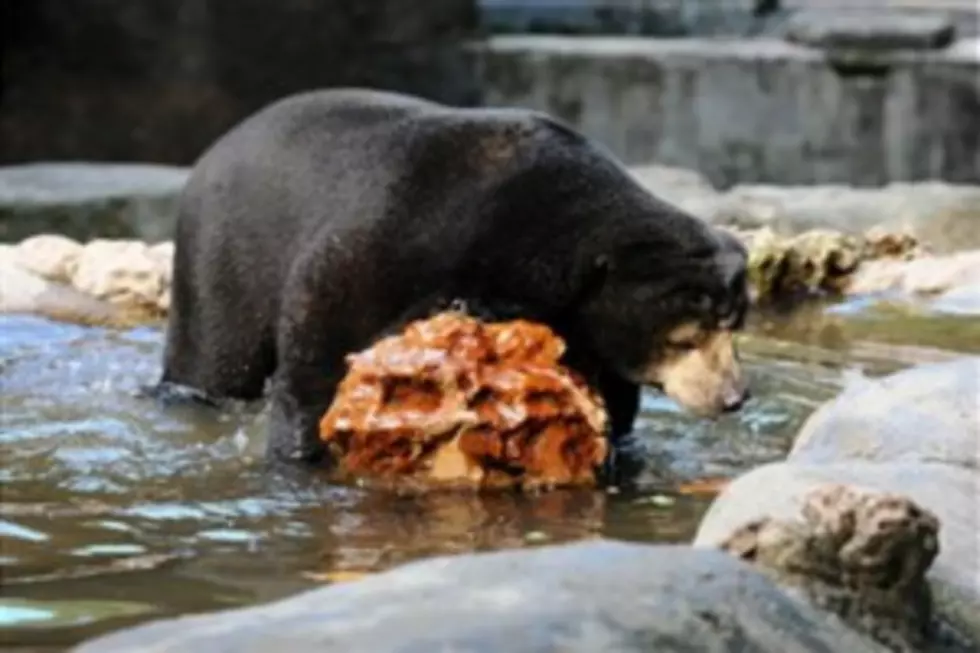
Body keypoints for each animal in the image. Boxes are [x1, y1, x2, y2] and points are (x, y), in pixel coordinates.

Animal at [155, 88, 752, 464]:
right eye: (687, 337)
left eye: (734, 328)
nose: (735, 397)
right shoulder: (400, 228)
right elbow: (320, 329)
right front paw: (302, 452)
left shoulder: (586, 332)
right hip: (224, 255)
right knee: (215, 360)